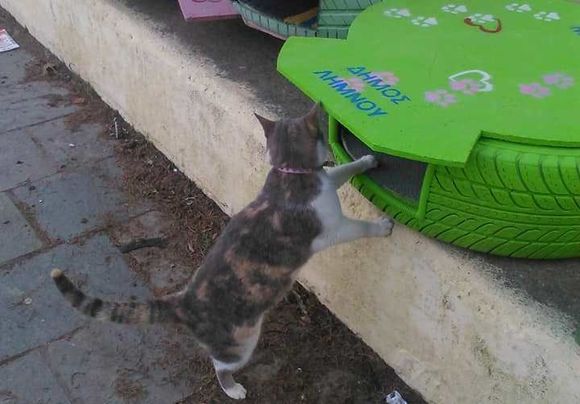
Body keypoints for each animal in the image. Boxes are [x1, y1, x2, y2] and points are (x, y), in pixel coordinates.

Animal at [50, 103, 394, 400]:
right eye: (321, 128)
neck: (289, 173)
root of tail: (184, 302)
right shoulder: (333, 228)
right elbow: (359, 228)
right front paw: (382, 225)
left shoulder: (327, 181)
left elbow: (342, 171)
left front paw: (366, 161)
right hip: (241, 342)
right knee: (220, 364)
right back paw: (233, 389)